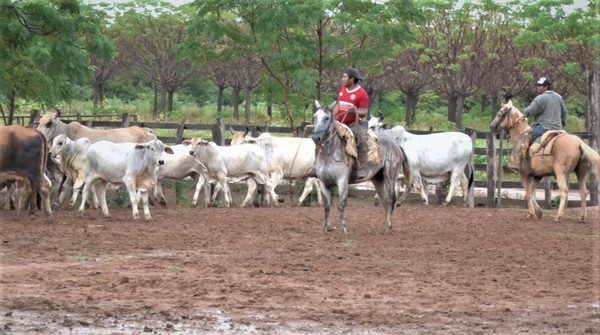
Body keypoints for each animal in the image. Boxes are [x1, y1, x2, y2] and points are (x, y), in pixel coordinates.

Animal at [312, 100, 410, 234]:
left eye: (326, 118)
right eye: (315, 117)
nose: (316, 138)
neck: (329, 155)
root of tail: (396, 145)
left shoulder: (342, 181)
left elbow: (341, 204)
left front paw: (344, 228)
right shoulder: (323, 182)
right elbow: (327, 206)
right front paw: (327, 227)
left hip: (390, 175)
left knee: (391, 198)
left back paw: (389, 225)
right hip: (378, 178)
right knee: (384, 199)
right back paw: (385, 225)